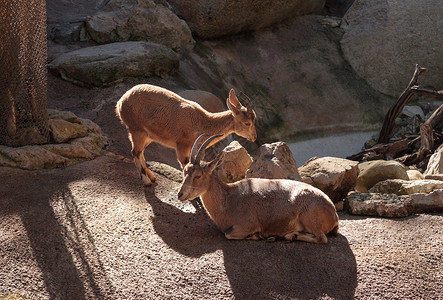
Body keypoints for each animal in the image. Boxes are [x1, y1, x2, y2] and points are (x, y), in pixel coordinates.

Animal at [115, 84, 256, 185]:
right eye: (247, 123)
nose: (254, 137)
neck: (202, 122)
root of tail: (120, 102)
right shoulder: (182, 146)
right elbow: (185, 165)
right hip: (137, 131)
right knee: (135, 152)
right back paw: (146, 181)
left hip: (148, 136)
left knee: (140, 152)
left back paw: (152, 177)